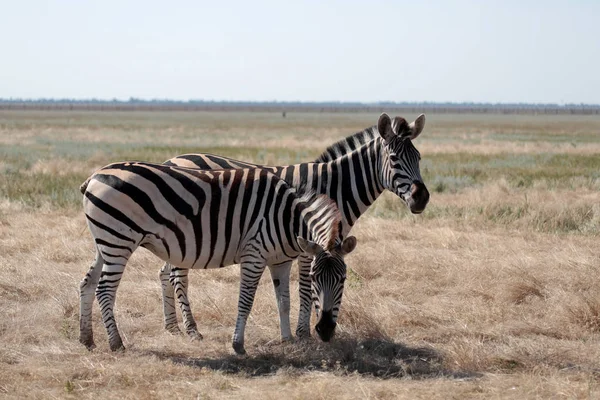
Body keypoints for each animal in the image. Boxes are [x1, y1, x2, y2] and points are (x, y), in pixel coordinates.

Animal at [77, 161, 354, 354]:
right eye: (315, 278)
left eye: (343, 281)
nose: (325, 331)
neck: (286, 217)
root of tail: (94, 176)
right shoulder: (254, 254)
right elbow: (246, 301)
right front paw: (238, 345)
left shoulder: (280, 261)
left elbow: (283, 301)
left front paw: (287, 340)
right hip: (118, 242)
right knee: (105, 290)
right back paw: (116, 344)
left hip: (104, 243)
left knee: (87, 284)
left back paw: (87, 339)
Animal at [159, 111, 432, 340]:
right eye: (394, 159)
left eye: (419, 157)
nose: (422, 198)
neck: (334, 187)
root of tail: (171, 159)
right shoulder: (306, 244)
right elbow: (304, 288)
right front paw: (304, 332)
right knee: (178, 275)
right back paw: (192, 330)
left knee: (164, 272)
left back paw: (172, 327)